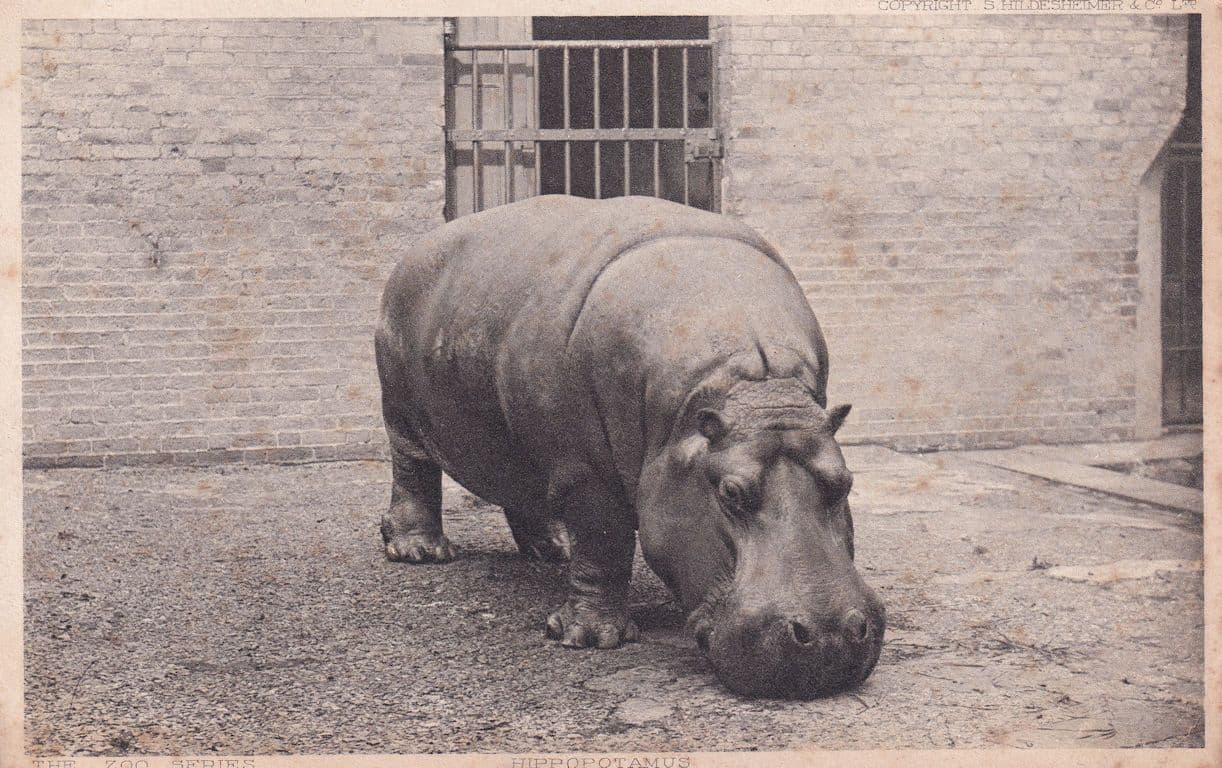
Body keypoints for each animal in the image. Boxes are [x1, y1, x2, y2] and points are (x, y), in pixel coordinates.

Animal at [374, 195, 884, 698]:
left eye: (845, 482)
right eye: (730, 492)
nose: (829, 636)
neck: (747, 383)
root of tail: (416, 250)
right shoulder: (584, 471)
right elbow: (604, 541)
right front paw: (587, 639)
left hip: (516, 441)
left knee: (519, 485)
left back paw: (554, 550)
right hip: (400, 410)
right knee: (413, 470)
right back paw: (420, 552)